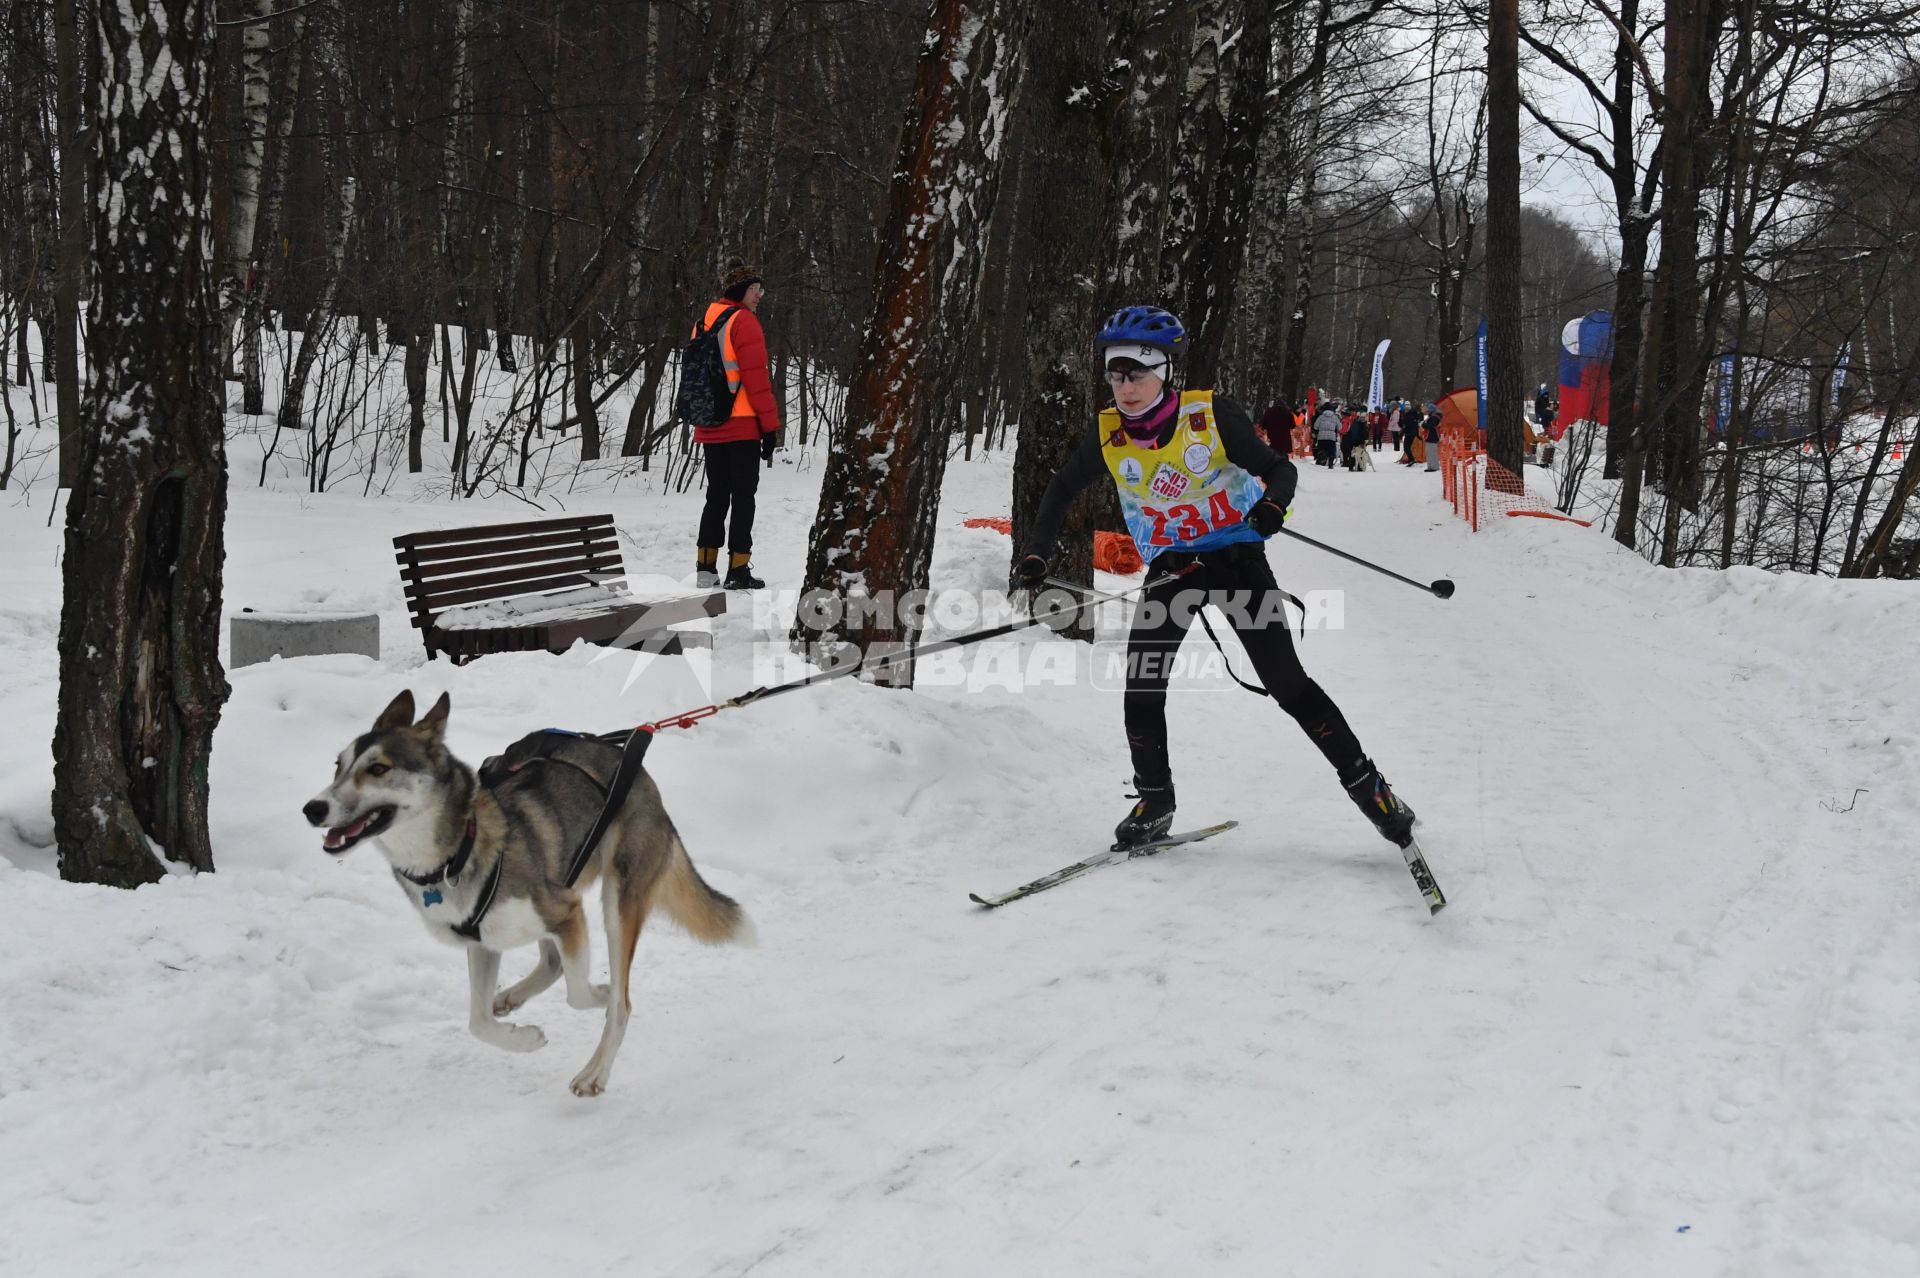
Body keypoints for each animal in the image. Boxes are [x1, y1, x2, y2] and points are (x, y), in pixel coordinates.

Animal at [303, 690, 752, 1089]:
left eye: (378, 768)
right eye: (338, 766)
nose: (312, 808)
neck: (458, 850)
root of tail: (633, 765)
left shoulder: (567, 913)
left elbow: (586, 996)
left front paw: (601, 994)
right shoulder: (484, 942)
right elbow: (478, 1022)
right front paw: (524, 1038)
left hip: (616, 903)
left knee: (617, 1001)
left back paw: (595, 1070)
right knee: (550, 964)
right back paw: (513, 997)